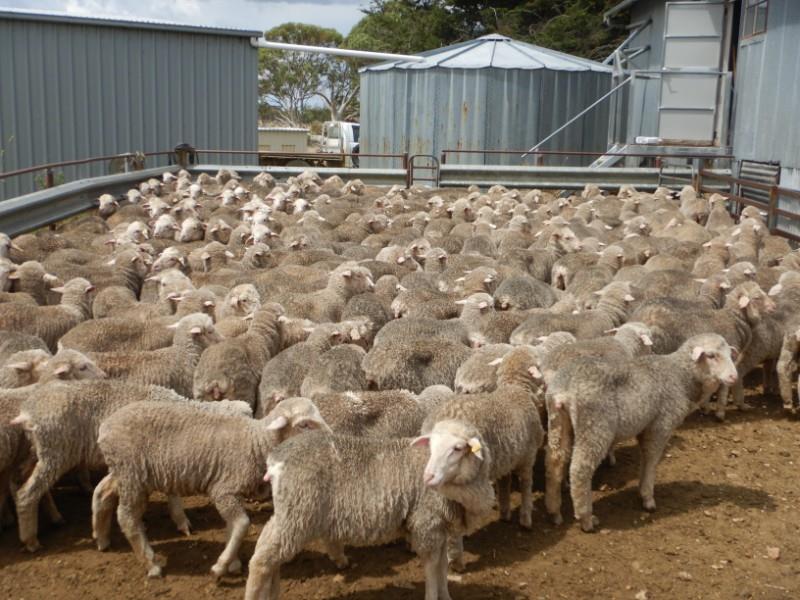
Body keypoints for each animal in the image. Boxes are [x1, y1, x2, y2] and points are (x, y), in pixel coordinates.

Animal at [92, 396, 327, 578]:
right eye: (304, 424)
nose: (331, 438)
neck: (256, 442)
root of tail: (105, 427)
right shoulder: (222, 490)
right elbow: (242, 524)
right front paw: (220, 566)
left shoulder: (231, 492)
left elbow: (232, 526)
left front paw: (232, 563)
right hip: (132, 475)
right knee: (127, 517)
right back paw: (151, 564)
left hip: (125, 473)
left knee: (102, 491)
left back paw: (101, 539)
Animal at [244, 419, 495, 600]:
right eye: (432, 446)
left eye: (458, 448)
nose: (428, 477)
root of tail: (276, 458)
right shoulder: (427, 522)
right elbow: (433, 568)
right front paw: (434, 595)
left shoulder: (439, 526)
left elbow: (442, 566)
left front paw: (446, 596)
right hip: (298, 512)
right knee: (262, 559)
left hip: (289, 512)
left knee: (269, 554)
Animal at [544, 334, 737, 532]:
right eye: (711, 356)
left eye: (730, 354)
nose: (734, 377)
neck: (681, 377)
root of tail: (563, 391)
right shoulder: (661, 425)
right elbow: (652, 459)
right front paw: (647, 498)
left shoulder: (645, 426)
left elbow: (645, 457)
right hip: (594, 426)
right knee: (580, 469)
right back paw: (586, 518)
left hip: (558, 422)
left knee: (554, 461)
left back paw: (554, 511)